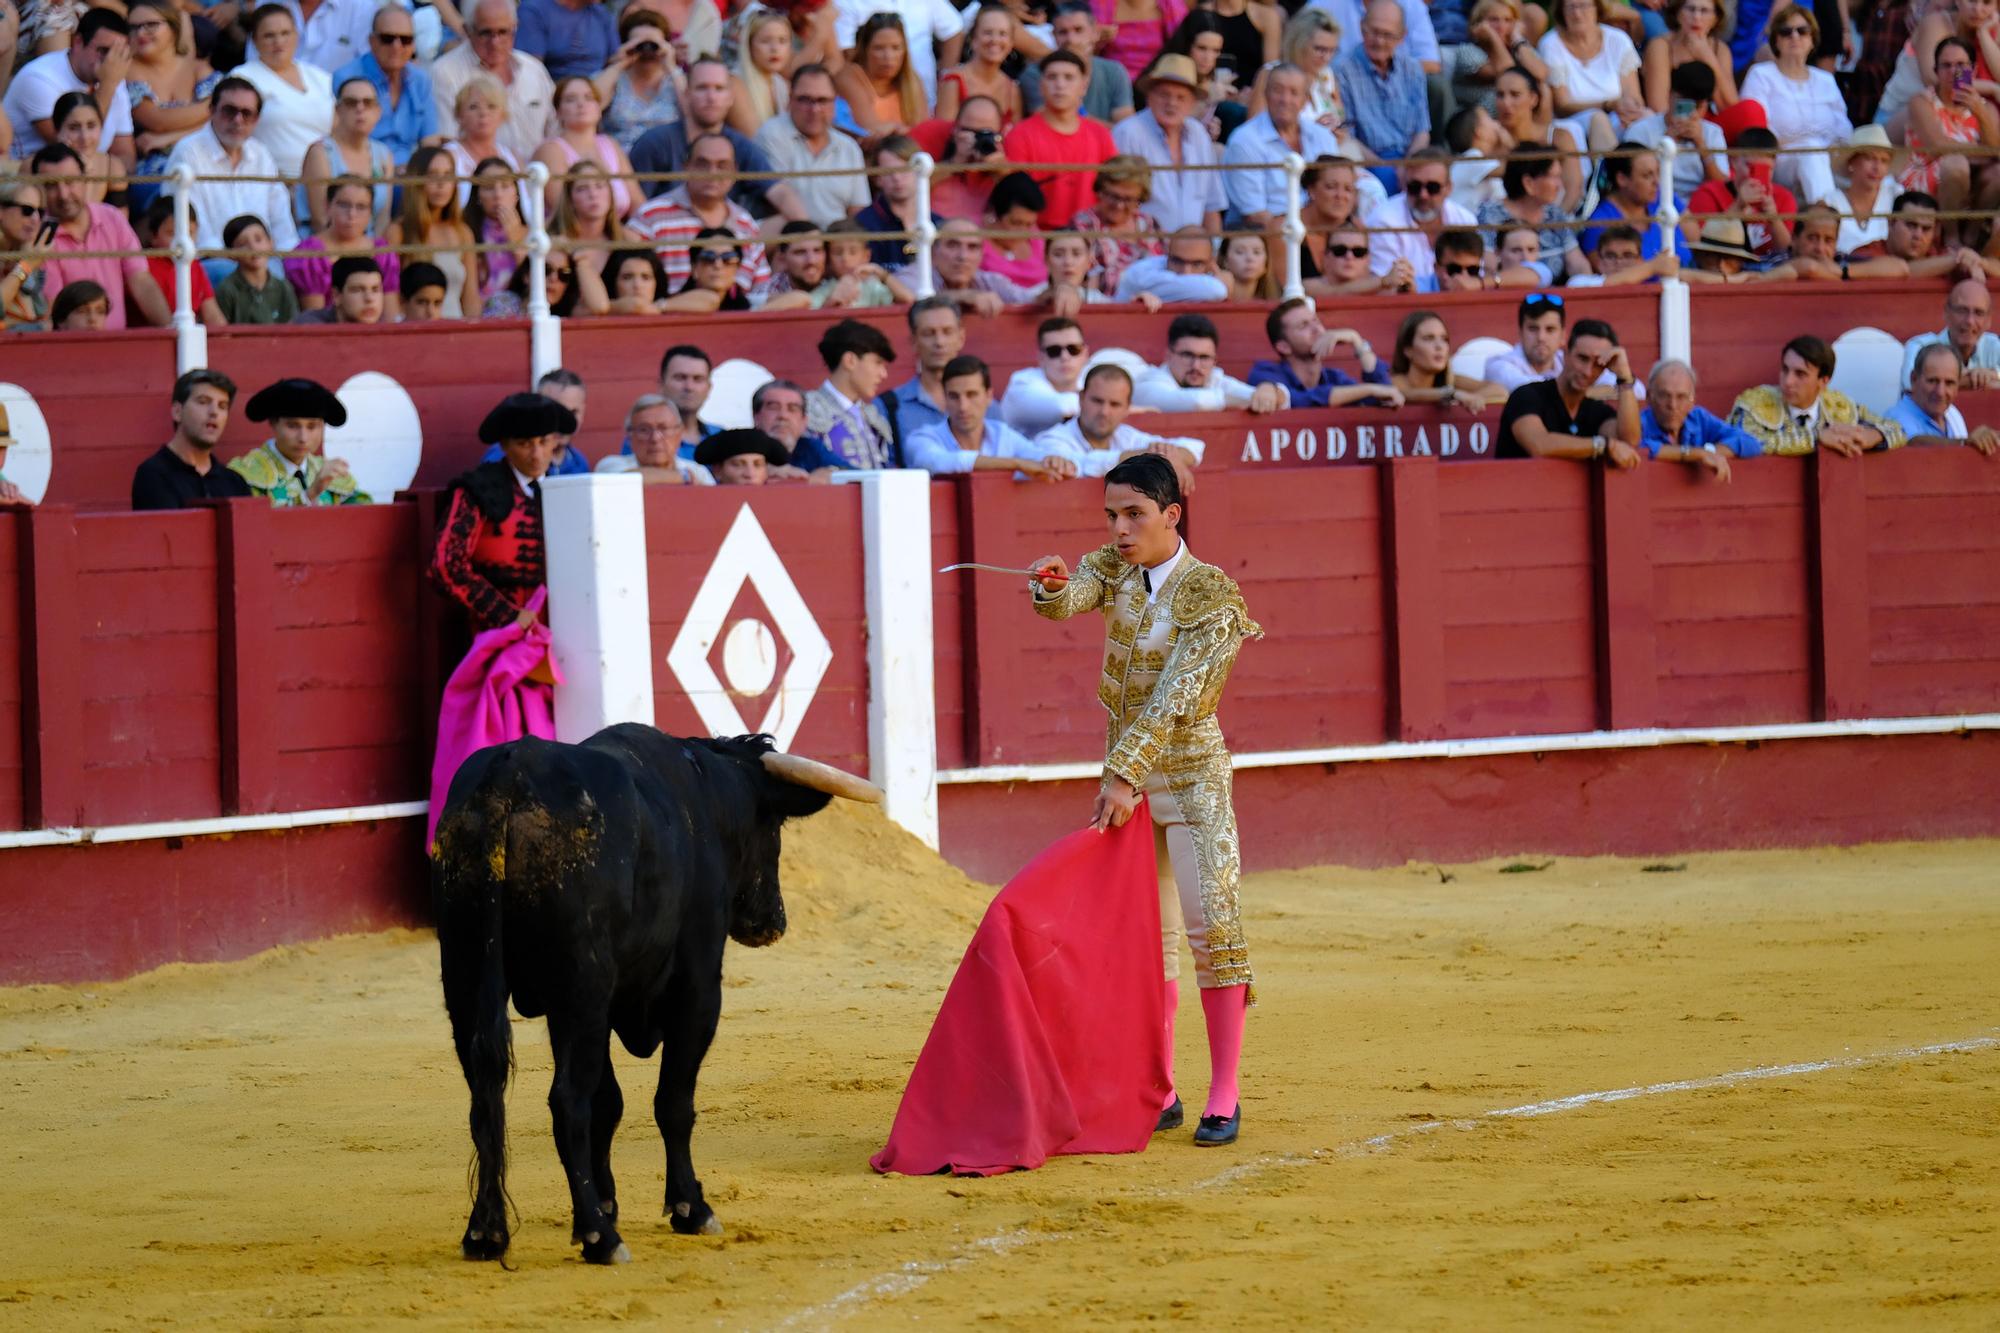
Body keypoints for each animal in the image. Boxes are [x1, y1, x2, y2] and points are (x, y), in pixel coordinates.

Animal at [430, 720, 876, 1264]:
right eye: (772, 829)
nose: (774, 920)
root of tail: (506, 778)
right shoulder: (697, 990)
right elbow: (673, 1102)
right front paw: (688, 1208)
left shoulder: (584, 1009)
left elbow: (610, 1102)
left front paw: (608, 1202)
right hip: (580, 987)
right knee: (566, 1103)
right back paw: (600, 1238)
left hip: (468, 979)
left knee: (485, 1096)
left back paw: (485, 1232)